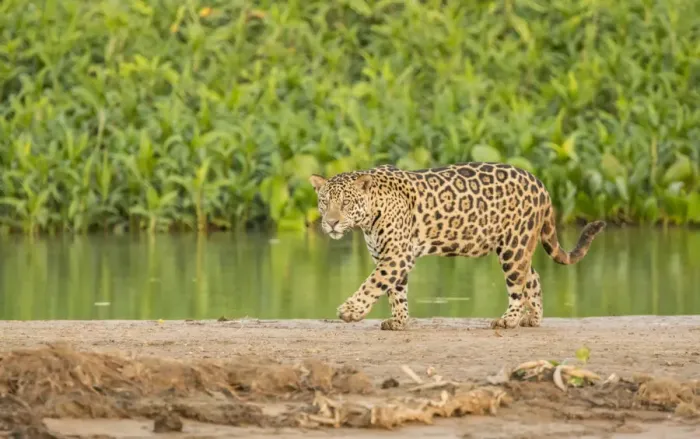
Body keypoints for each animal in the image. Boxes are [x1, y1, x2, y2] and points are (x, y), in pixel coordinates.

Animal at [308, 162, 606, 331]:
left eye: (346, 203)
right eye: (324, 202)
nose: (331, 223)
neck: (370, 214)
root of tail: (540, 183)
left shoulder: (397, 256)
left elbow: (373, 284)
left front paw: (350, 311)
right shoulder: (389, 256)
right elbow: (396, 291)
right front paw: (399, 321)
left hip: (514, 245)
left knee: (518, 284)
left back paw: (509, 319)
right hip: (517, 245)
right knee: (531, 276)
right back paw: (533, 318)